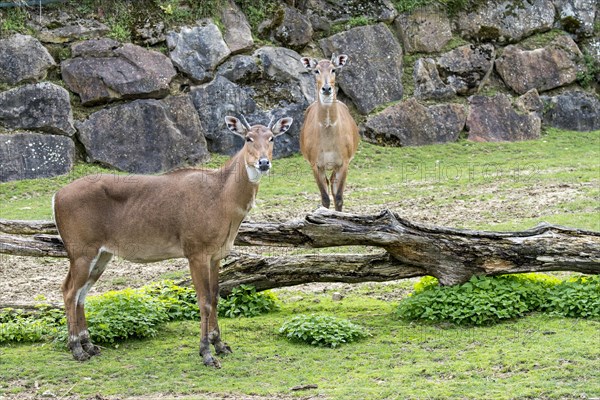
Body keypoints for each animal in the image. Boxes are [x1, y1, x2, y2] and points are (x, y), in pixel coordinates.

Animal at [54, 114, 292, 368]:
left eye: (272, 137)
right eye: (248, 138)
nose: (263, 163)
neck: (223, 199)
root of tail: (56, 196)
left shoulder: (216, 254)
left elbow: (216, 297)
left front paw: (221, 345)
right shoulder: (196, 251)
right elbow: (204, 300)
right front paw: (206, 353)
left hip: (102, 253)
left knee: (82, 292)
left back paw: (90, 346)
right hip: (81, 250)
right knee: (69, 290)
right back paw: (76, 349)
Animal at [302, 53, 358, 212]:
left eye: (333, 69)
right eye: (316, 70)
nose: (326, 88)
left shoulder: (344, 162)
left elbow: (338, 197)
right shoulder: (315, 164)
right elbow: (324, 198)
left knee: (333, 183)